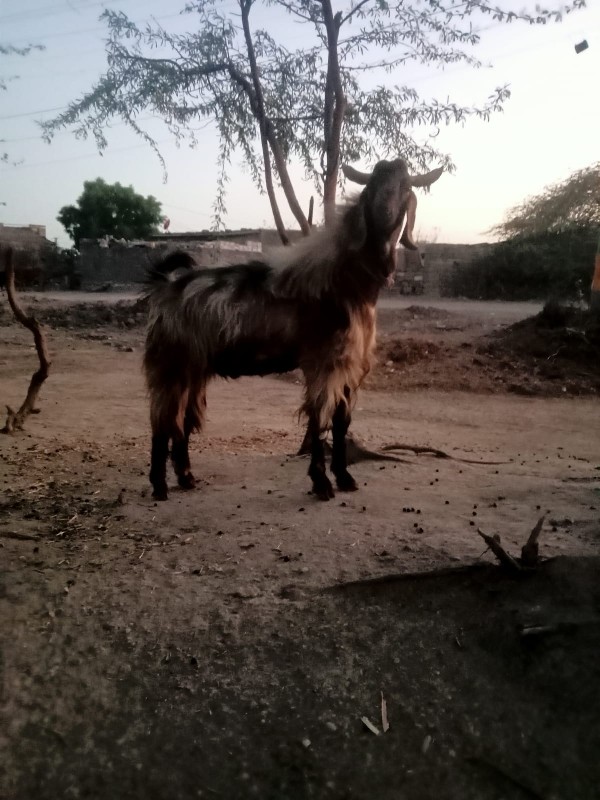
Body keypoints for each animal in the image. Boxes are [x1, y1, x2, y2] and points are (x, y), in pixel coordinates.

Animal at [143, 158, 443, 501]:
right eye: (371, 189)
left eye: (405, 189)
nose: (384, 214)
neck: (344, 281)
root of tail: (164, 286)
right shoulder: (323, 362)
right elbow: (318, 419)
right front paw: (321, 482)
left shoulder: (349, 366)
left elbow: (341, 421)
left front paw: (344, 478)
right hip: (171, 364)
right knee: (161, 421)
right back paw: (159, 486)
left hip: (194, 369)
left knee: (181, 421)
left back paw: (186, 477)